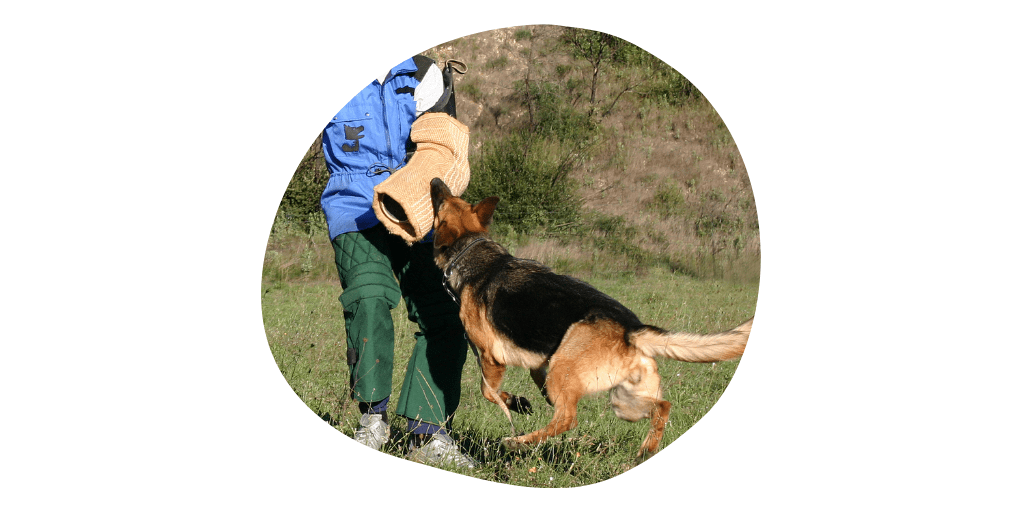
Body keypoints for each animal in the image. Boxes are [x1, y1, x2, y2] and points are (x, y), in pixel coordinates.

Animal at [428, 178, 757, 458]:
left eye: (441, 202)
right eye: (451, 197)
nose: (434, 180)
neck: (472, 253)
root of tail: (632, 329)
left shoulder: (491, 357)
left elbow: (488, 391)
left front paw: (511, 404)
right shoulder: (539, 365)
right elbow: (523, 389)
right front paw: (518, 402)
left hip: (570, 374)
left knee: (567, 419)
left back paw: (518, 441)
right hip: (623, 402)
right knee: (662, 406)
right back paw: (646, 451)